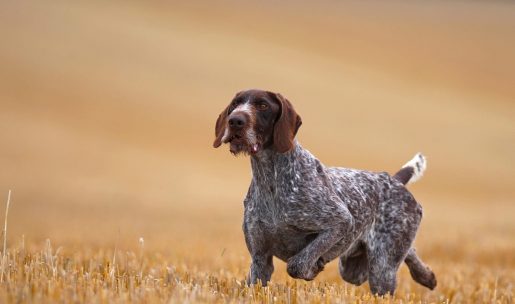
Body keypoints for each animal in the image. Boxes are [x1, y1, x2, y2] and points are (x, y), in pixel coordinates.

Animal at [213, 89, 436, 296]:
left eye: (263, 106)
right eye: (235, 104)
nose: (235, 120)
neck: (271, 179)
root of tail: (395, 180)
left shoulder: (341, 221)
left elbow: (297, 264)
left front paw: (311, 268)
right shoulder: (260, 259)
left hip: (382, 269)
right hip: (354, 268)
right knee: (408, 252)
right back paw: (427, 276)